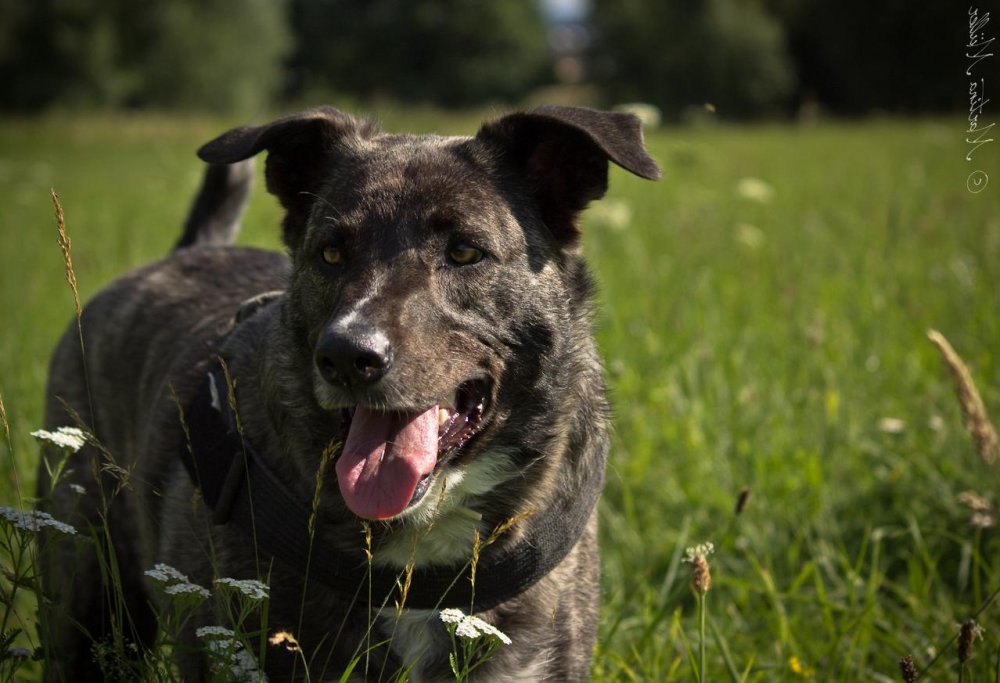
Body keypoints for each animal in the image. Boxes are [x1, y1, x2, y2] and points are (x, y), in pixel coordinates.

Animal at [39, 104, 660, 680]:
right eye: (331, 252)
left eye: (465, 251)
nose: (346, 355)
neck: (417, 548)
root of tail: (182, 254)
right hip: (87, 596)